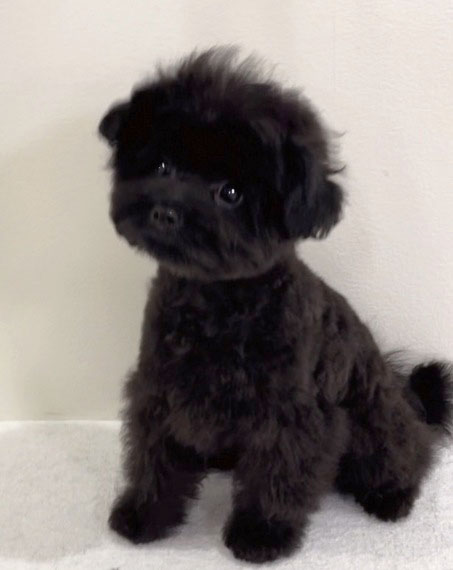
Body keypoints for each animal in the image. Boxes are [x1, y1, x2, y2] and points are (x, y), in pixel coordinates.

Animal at [99, 48, 452, 563]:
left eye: (230, 193)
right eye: (163, 166)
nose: (166, 212)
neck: (216, 303)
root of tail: (404, 390)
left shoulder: (291, 414)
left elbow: (277, 476)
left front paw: (261, 534)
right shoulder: (159, 390)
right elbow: (154, 460)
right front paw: (144, 515)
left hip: (375, 421)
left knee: (409, 452)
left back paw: (392, 496)